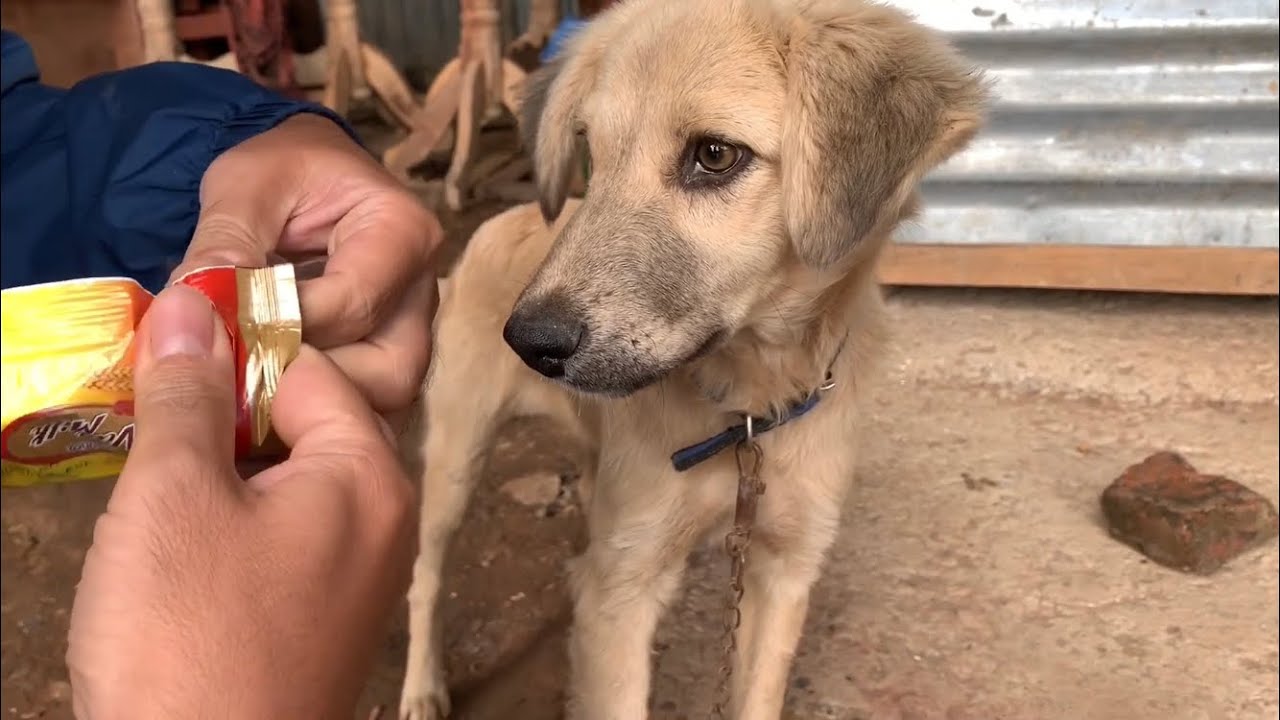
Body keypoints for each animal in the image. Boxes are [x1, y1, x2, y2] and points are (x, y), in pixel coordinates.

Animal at [394, 2, 983, 712]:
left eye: (714, 155)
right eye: (592, 154)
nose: (529, 341)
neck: (749, 413)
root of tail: (492, 224)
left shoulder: (787, 569)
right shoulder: (623, 593)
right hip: (456, 457)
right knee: (425, 576)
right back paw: (422, 687)